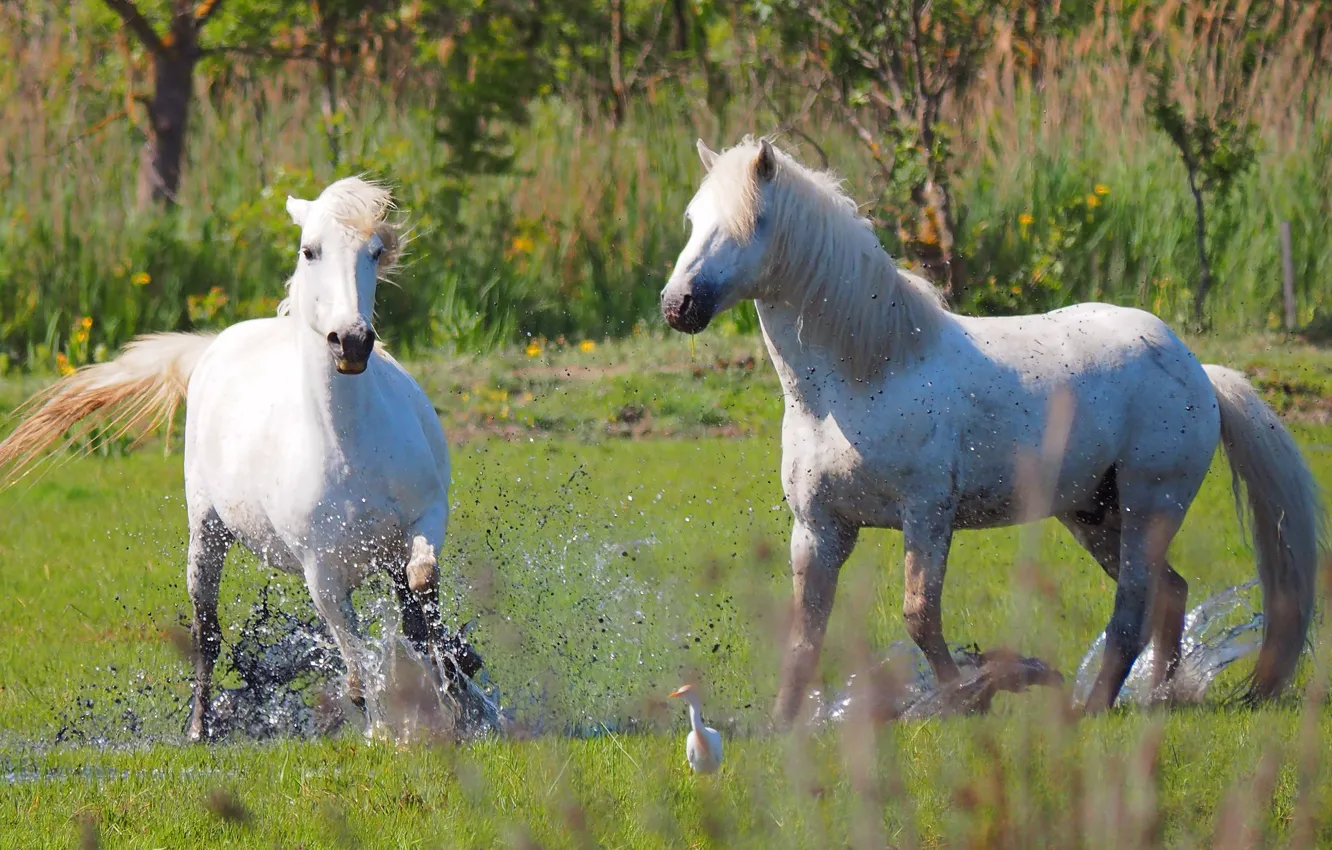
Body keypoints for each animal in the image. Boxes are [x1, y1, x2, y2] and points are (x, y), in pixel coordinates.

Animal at [0, 178, 479, 740]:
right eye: (309, 250)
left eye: (375, 252)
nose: (352, 342)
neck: (352, 448)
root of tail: (218, 343)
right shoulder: (321, 572)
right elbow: (357, 654)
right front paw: (384, 726)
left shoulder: (426, 517)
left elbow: (421, 590)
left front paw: (458, 685)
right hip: (206, 529)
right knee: (206, 632)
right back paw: (198, 729)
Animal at [660, 139, 1326, 724]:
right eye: (691, 220)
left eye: (755, 220)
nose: (677, 306)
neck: (864, 376)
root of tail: (1199, 372)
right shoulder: (820, 529)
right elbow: (806, 633)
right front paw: (784, 726)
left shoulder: (927, 514)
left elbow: (920, 616)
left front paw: (967, 700)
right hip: (1092, 515)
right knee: (1170, 595)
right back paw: (1156, 699)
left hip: (1149, 506)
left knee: (1135, 608)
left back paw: (1093, 709)